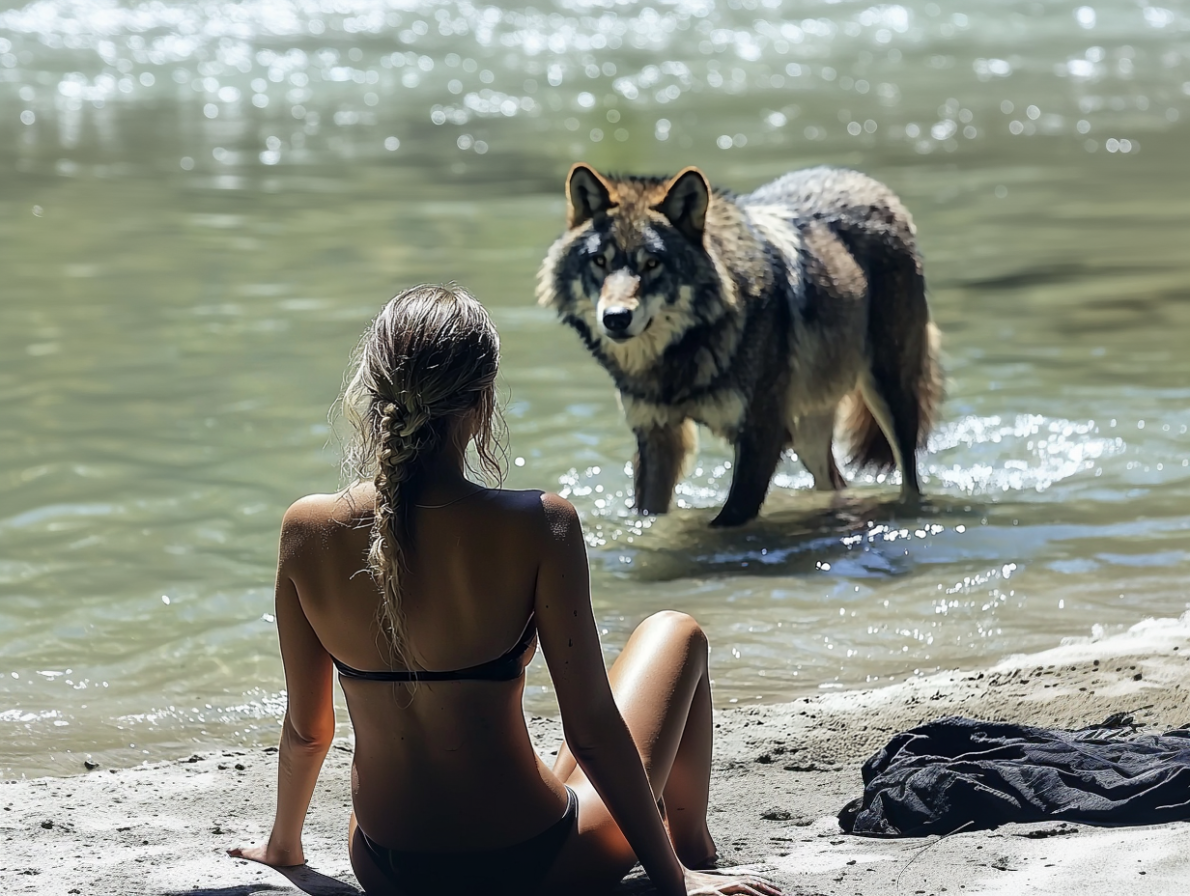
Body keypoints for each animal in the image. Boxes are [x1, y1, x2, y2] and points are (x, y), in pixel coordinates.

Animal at [536, 164, 941, 527]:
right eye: (600, 261)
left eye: (652, 263)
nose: (616, 318)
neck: (682, 358)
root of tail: (868, 182)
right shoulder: (658, 436)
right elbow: (649, 512)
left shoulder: (761, 433)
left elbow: (727, 522)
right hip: (807, 434)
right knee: (836, 482)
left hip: (887, 393)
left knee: (910, 477)